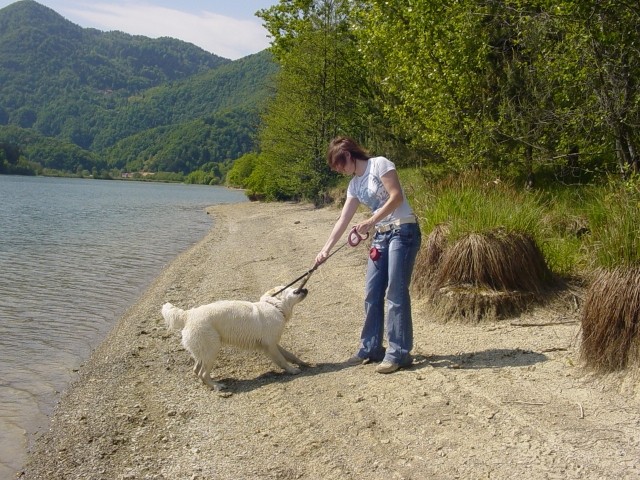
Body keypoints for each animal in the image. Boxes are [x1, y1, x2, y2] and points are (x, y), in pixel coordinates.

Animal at [161, 286, 308, 388]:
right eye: (292, 289)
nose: (305, 288)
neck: (274, 306)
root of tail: (187, 315)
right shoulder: (270, 345)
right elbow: (282, 360)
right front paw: (292, 370)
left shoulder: (273, 343)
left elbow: (289, 355)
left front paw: (302, 363)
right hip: (212, 349)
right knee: (202, 373)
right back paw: (217, 386)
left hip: (203, 351)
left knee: (196, 370)